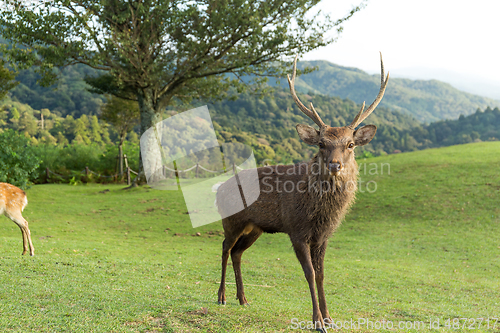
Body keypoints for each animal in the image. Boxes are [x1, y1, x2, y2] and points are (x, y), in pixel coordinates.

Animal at [217, 53, 388, 330]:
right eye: (321, 144)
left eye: (351, 144)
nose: (335, 164)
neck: (319, 213)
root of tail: (218, 189)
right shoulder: (296, 230)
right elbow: (309, 273)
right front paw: (317, 321)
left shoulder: (323, 236)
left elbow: (321, 274)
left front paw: (330, 318)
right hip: (231, 220)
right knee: (224, 248)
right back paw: (221, 296)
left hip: (255, 228)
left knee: (237, 252)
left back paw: (243, 298)